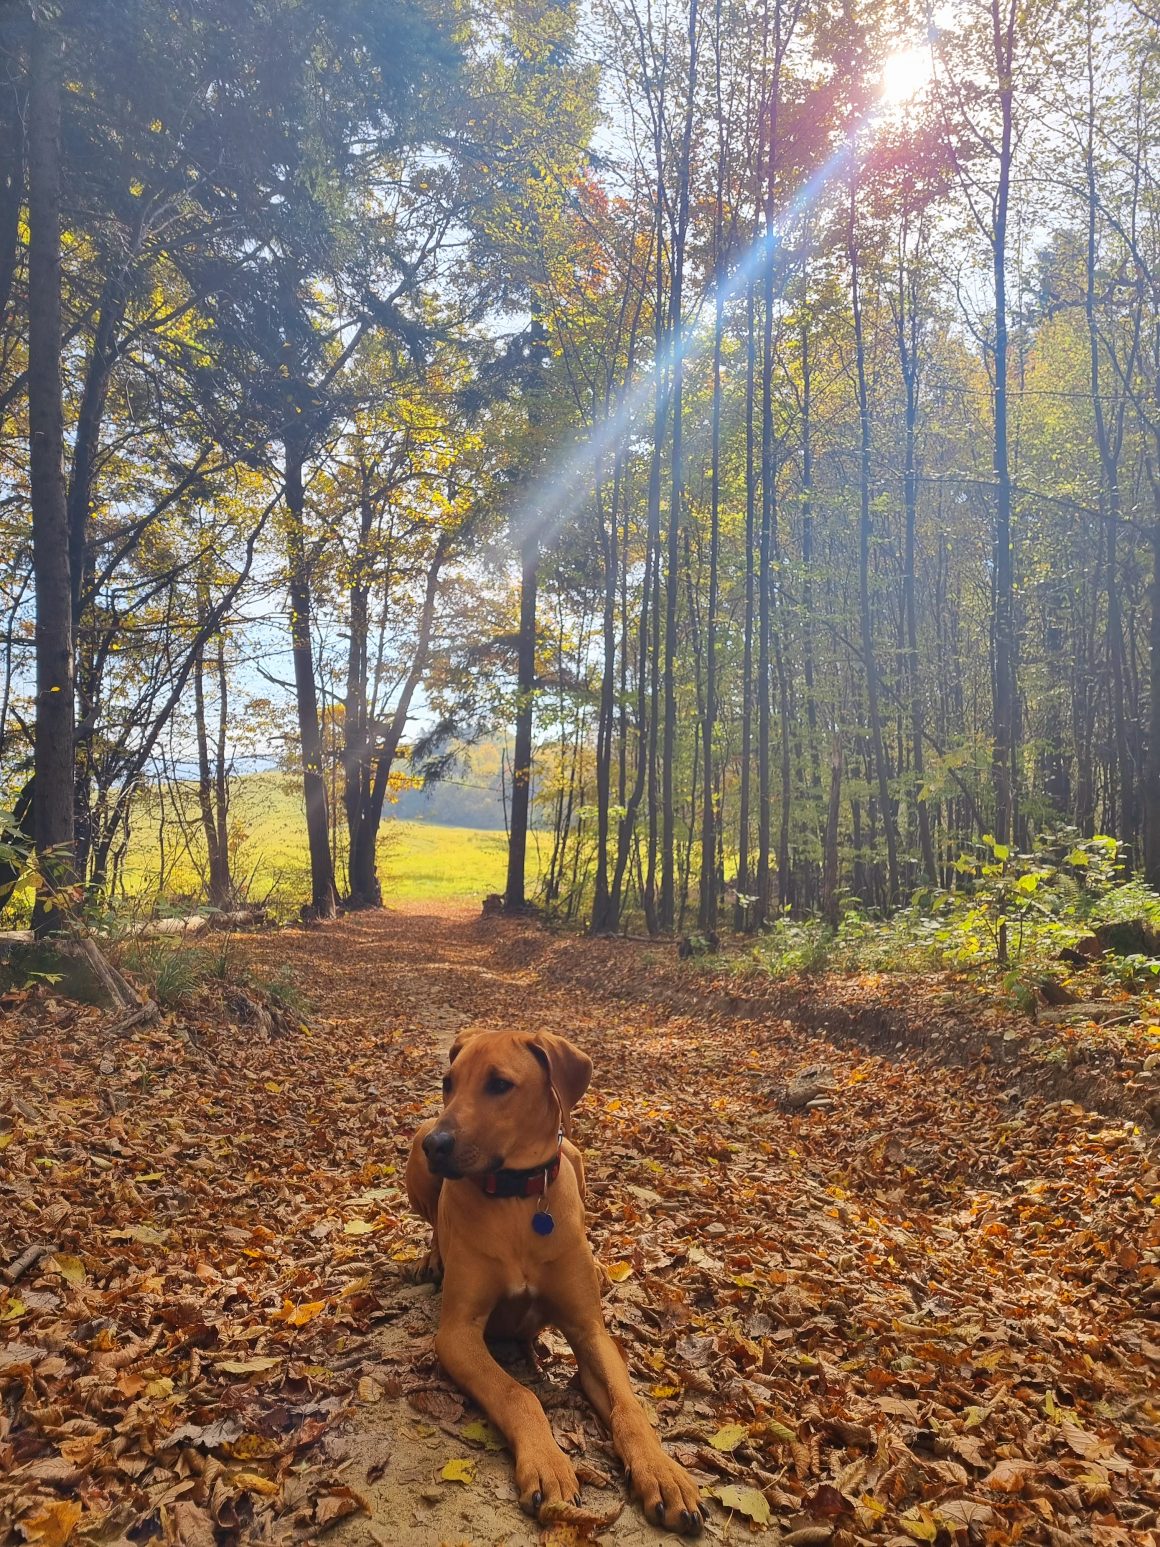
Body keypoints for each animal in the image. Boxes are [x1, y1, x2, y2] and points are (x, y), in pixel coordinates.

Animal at [405, 1027, 705, 1534]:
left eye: (500, 1084)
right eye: (448, 1083)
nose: (438, 1146)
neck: (518, 1200)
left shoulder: (589, 1331)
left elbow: (629, 1407)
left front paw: (663, 1472)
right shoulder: (458, 1334)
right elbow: (518, 1393)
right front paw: (547, 1462)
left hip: (574, 1155)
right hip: (417, 1157)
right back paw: (432, 1258)